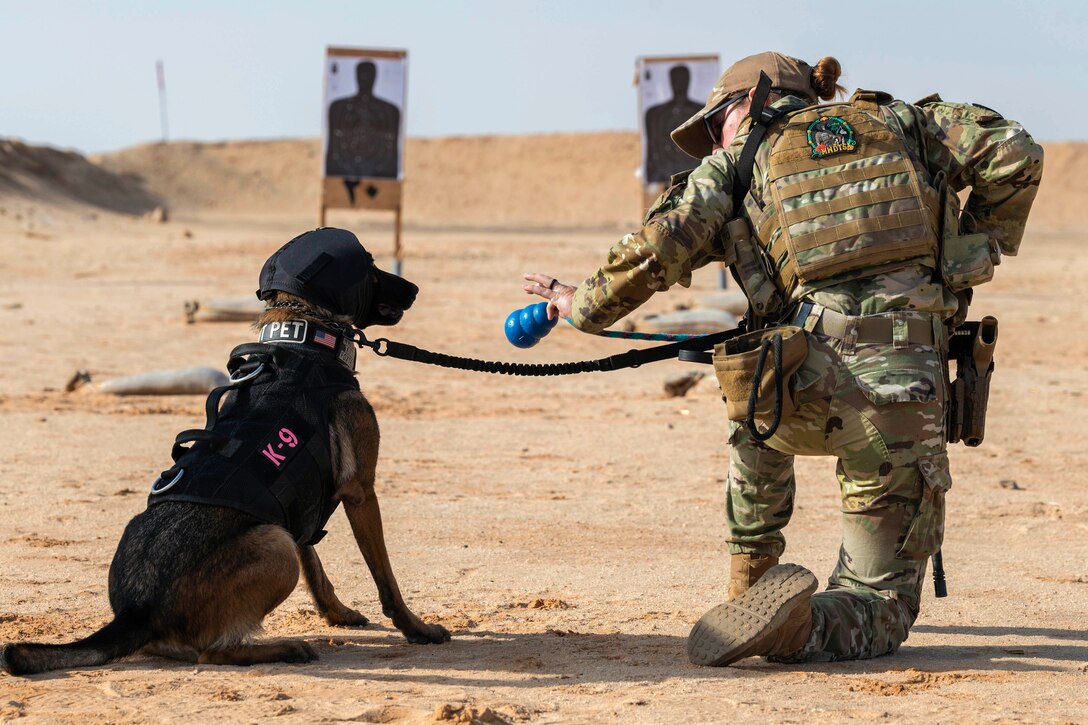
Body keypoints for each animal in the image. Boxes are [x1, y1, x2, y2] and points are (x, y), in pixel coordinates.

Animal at [0, 227, 450, 670]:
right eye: (371, 265)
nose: (414, 288)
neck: (304, 333)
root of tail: (135, 613)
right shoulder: (360, 492)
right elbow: (386, 578)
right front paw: (417, 628)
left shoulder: (297, 504)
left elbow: (317, 568)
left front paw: (337, 614)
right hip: (275, 545)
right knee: (211, 652)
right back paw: (282, 649)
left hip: (274, 537)